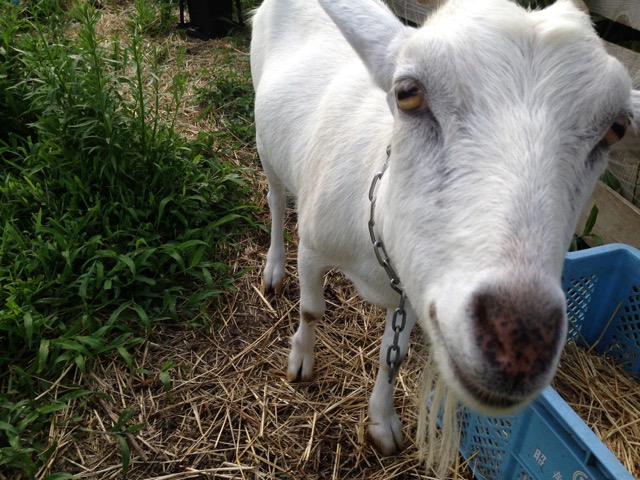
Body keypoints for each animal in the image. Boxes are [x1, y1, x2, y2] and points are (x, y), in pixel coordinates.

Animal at [249, 0, 636, 462]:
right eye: (407, 93)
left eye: (616, 128)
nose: (519, 342)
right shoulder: (312, 247)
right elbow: (311, 310)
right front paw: (301, 362)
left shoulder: (418, 290)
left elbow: (392, 356)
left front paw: (383, 423)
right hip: (264, 137)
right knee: (274, 199)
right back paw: (273, 268)